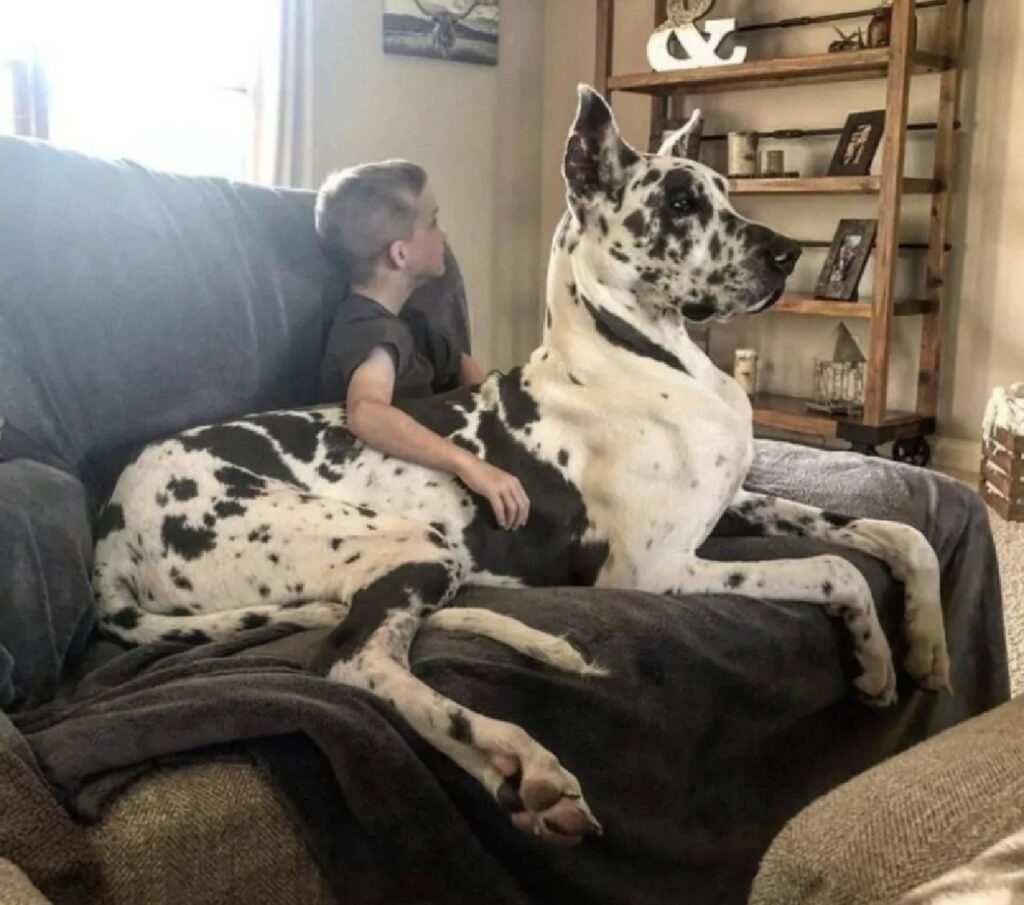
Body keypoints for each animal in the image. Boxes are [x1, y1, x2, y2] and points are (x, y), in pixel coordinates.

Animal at [94, 88, 950, 843]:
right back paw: (518, 754)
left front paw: (925, 643)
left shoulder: (740, 501)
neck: (640, 355)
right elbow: (835, 568)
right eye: (678, 203)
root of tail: (112, 528)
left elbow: (899, 535)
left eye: (723, 191)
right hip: (410, 544)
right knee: (352, 663)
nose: (789, 252)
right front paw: (875, 658)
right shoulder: (656, 571)